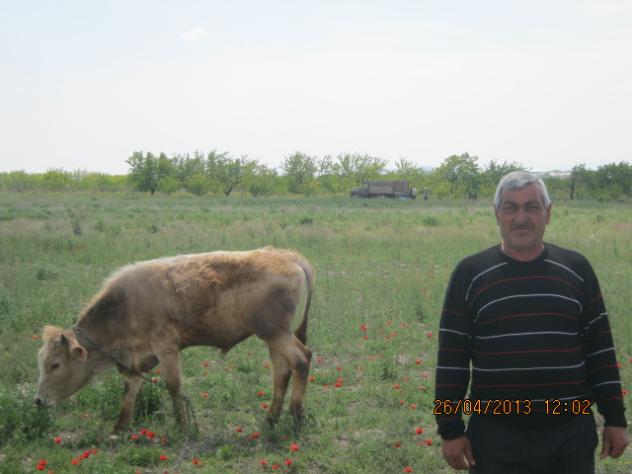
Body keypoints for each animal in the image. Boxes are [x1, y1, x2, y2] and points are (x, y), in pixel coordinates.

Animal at [35, 247, 313, 432]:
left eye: (55, 364)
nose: (38, 400)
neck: (126, 306)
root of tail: (287, 255)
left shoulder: (165, 348)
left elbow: (173, 386)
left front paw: (182, 425)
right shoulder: (133, 359)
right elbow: (130, 389)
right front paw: (119, 427)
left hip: (276, 333)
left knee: (301, 360)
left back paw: (297, 415)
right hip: (273, 338)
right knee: (282, 372)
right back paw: (271, 419)